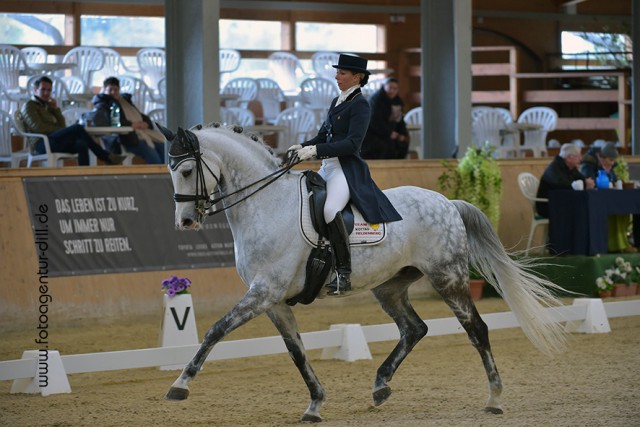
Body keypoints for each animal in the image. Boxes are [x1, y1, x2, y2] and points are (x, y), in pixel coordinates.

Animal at [159, 124, 564, 424]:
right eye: (171, 171)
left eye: (187, 170)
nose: (185, 221)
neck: (266, 205)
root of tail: (447, 202)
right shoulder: (273, 301)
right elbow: (297, 351)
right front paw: (315, 405)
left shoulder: (264, 292)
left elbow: (215, 330)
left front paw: (180, 385)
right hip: (389, 286)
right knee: (414, 328)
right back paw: (380, 386)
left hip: (447, 277)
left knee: (476, 329)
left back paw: (494, 399)